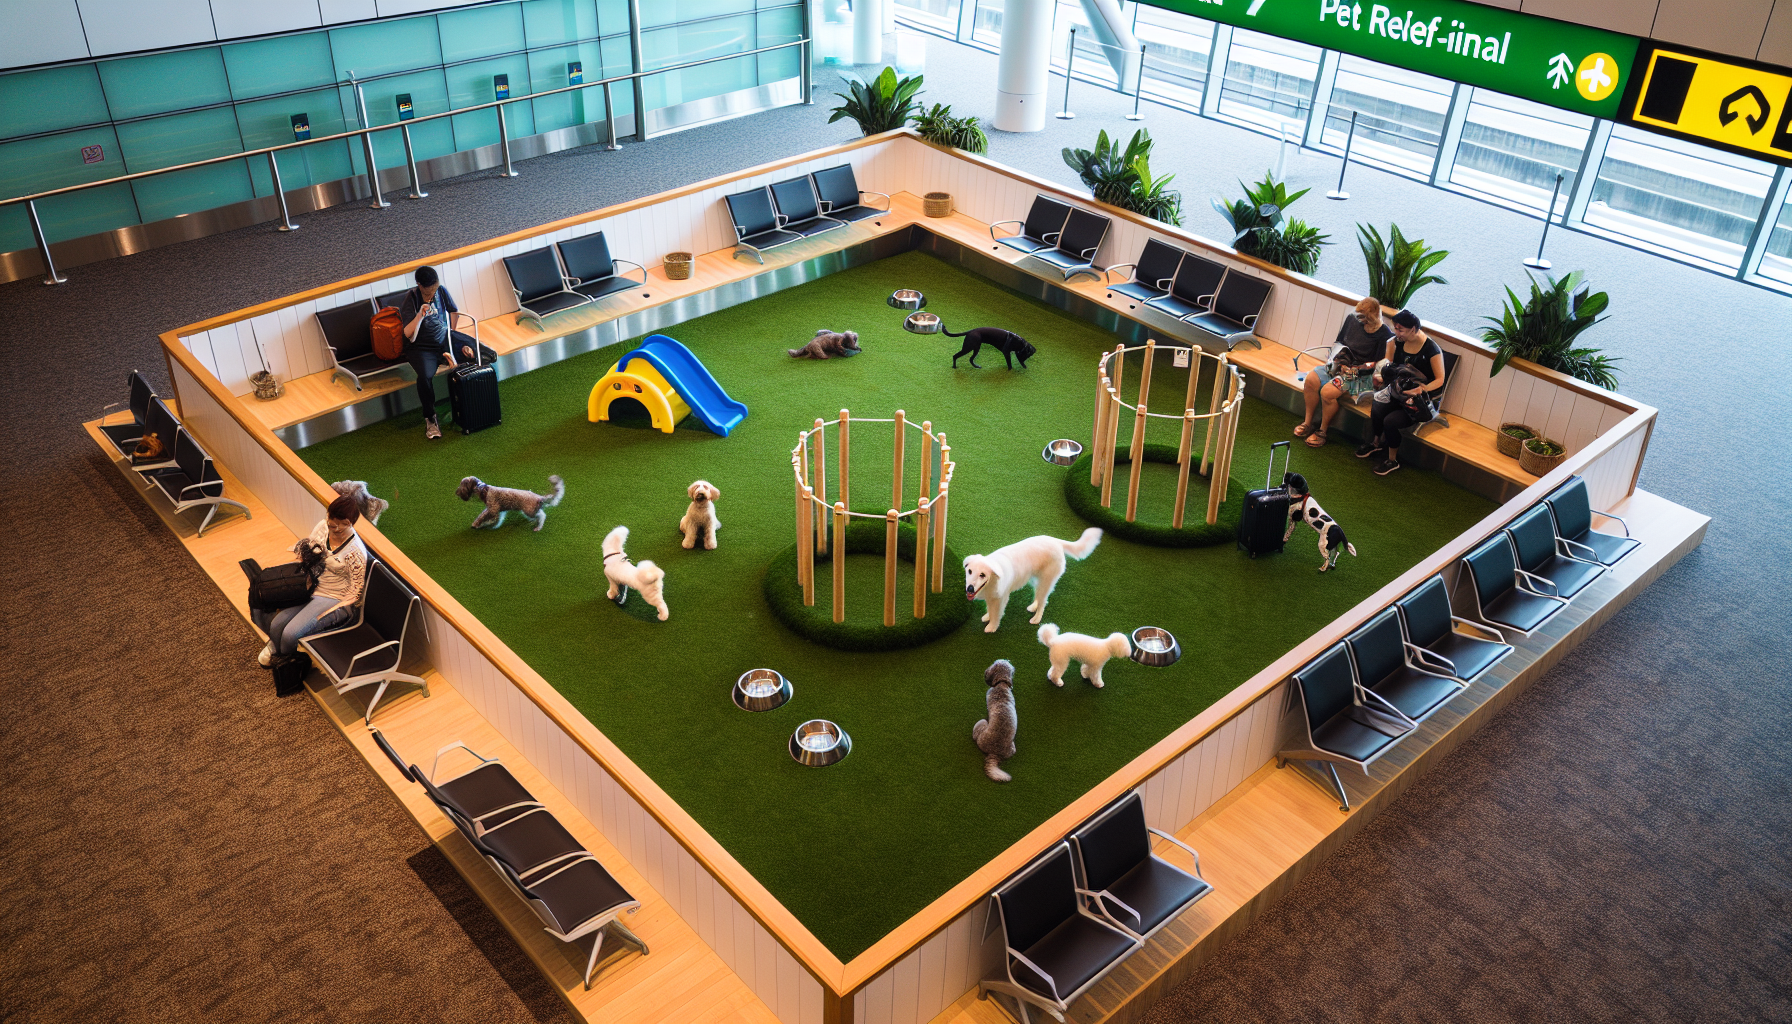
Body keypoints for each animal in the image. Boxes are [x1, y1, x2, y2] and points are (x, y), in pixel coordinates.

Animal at [960, 527, 1096, 634]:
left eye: (982, 575)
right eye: (969, 571)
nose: (969, 588)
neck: (992, 580)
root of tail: (1056, 541)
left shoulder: (1000, 599)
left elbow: (996, 614)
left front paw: (992, 627)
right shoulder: (991, 597)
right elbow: (990, 610)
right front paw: (987, 617)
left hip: (1046, 582)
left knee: (1043, 602)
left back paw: (1036, 618)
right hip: (1037, 581)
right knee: (1039, 597)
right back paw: (1033, 606)